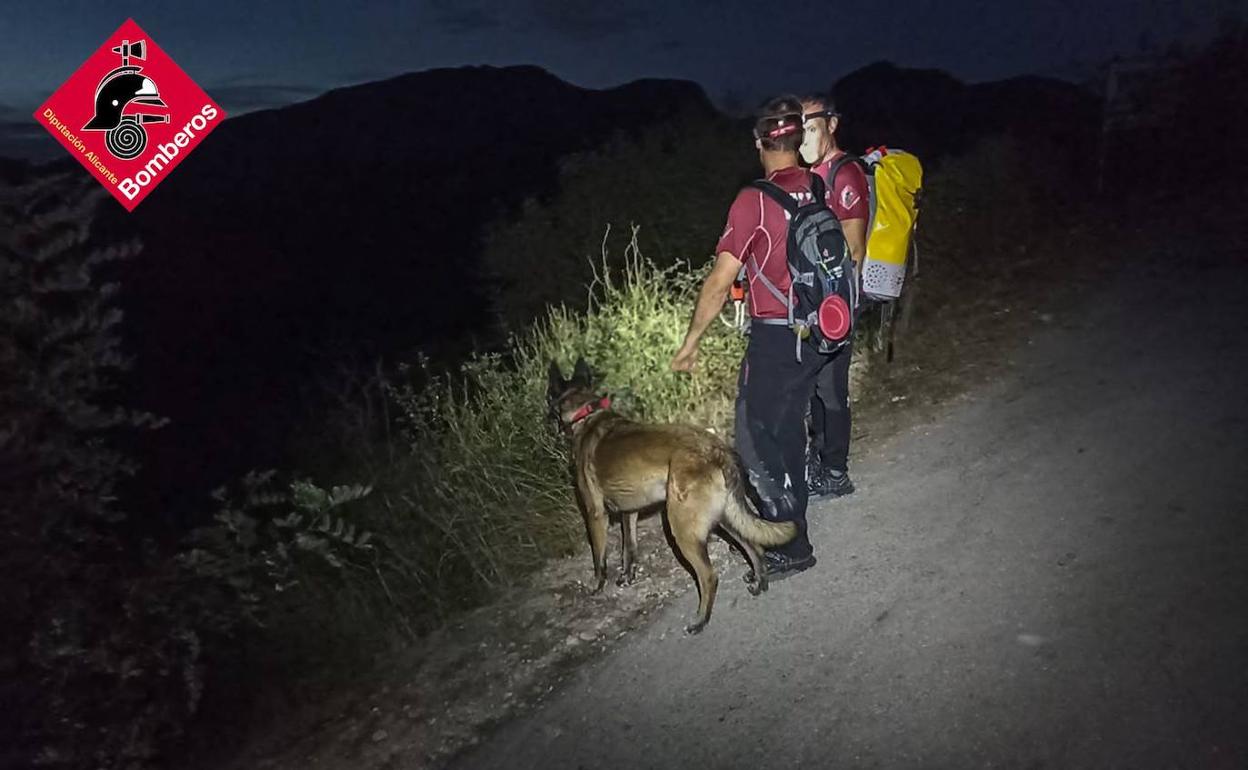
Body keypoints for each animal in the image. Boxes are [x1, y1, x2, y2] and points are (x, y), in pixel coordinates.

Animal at [549, 356, 798, 633]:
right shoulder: (629, 512)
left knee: (709, 575)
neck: (586, 414)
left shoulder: (595, 514)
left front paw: (597, 587)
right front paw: (626, 576)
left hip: (681, 527)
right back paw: (759, 582)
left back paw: (700, 620)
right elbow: (629, 549)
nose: (548, 423)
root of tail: (715, 448)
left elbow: (599, 559)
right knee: (753, 546)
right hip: (724, 517)